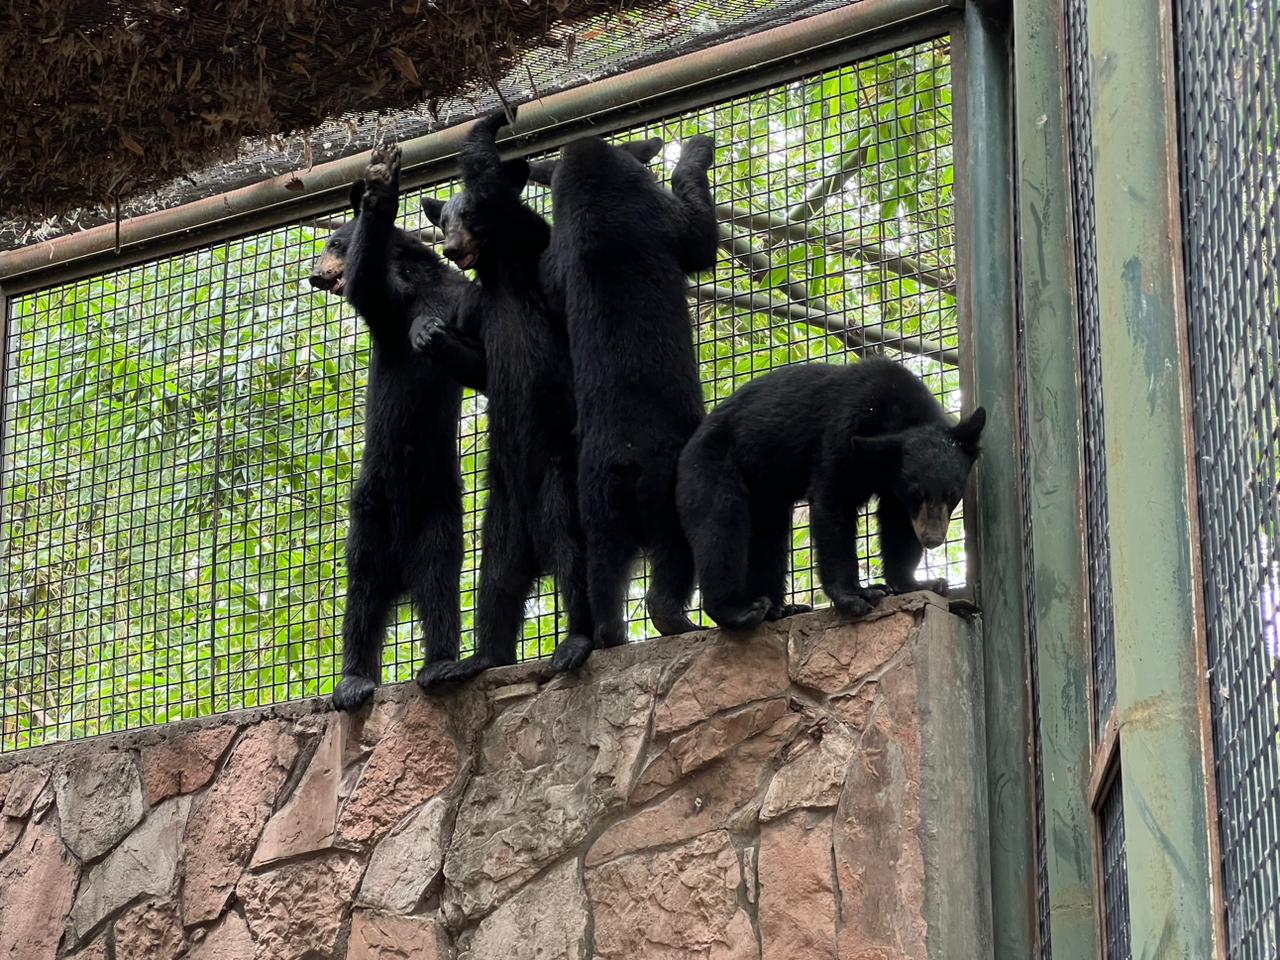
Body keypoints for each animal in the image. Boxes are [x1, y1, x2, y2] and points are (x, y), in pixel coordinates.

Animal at [308, 141, 473, 711]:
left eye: (334, 242)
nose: (313, 276)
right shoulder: (387, 307)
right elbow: (370, 285)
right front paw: (380, 184)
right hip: (369, 514)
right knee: (363, 593)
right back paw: (355, 680)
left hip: (440, 510)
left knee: (440, 582)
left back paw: (442, 664)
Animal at [409, 106, 592, 684]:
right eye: (442, 221)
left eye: (469, 214)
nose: (449, 247)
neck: (497, 274)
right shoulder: (477, 307)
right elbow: (485, 370)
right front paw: (428, 333)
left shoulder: (529, 244)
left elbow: (498, 186)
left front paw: (489, 122)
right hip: (505, 506)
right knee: (496, 575)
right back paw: (477, 658)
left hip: (559, 472)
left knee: (573, 547)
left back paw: (577, 641)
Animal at [526, 132, 720, 672]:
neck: (593, 191)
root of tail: (624, 460)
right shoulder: (675, 223)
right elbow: (698, 224)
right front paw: (696, 148)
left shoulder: (553, 268)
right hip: (668, 503)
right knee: (665, 583)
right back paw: (681, 624)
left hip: (599, 516)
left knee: (601, 589)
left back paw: (600, 639)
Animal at [675, 358, 985, 629]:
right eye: (917, 493)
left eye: (951, 494)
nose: (933, 539)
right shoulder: (842, 433)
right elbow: (833, 505)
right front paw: (859, 595)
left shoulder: (894, 483)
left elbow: (898, 525)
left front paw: (921, 583)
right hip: (712, 465)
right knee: (721, 524)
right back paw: (740, 610)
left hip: (765, 492)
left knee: (769, 538)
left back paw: (781, 608)